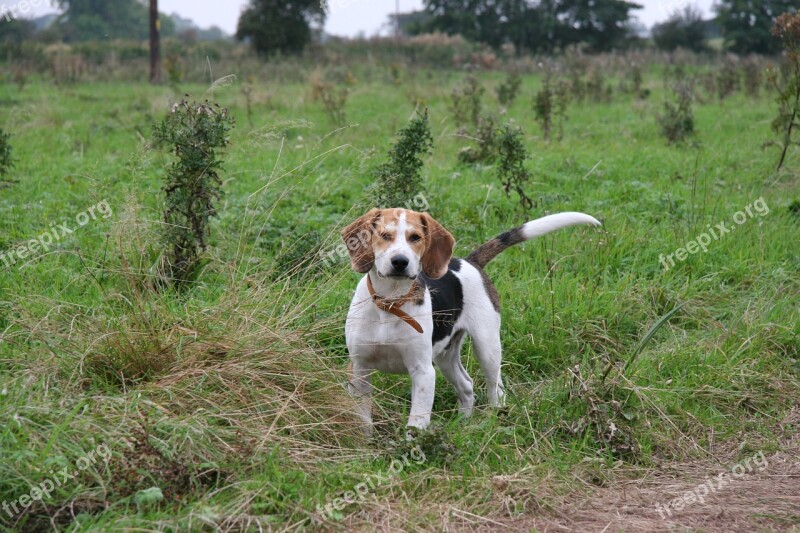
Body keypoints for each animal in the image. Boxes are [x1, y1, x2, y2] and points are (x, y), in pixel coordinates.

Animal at [342, 208, 600, 432]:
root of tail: (470, 262)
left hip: (487, 348)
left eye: (415, 237)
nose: (400, 261)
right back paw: (463, 425)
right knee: (466, 386)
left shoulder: (423, 372)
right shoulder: (359, 368)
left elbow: (416, 422)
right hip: (445, 356)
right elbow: (362, 418)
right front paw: (365, 445)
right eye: (385, 235)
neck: (390, 303)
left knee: (496, 389)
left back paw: (494, 420)